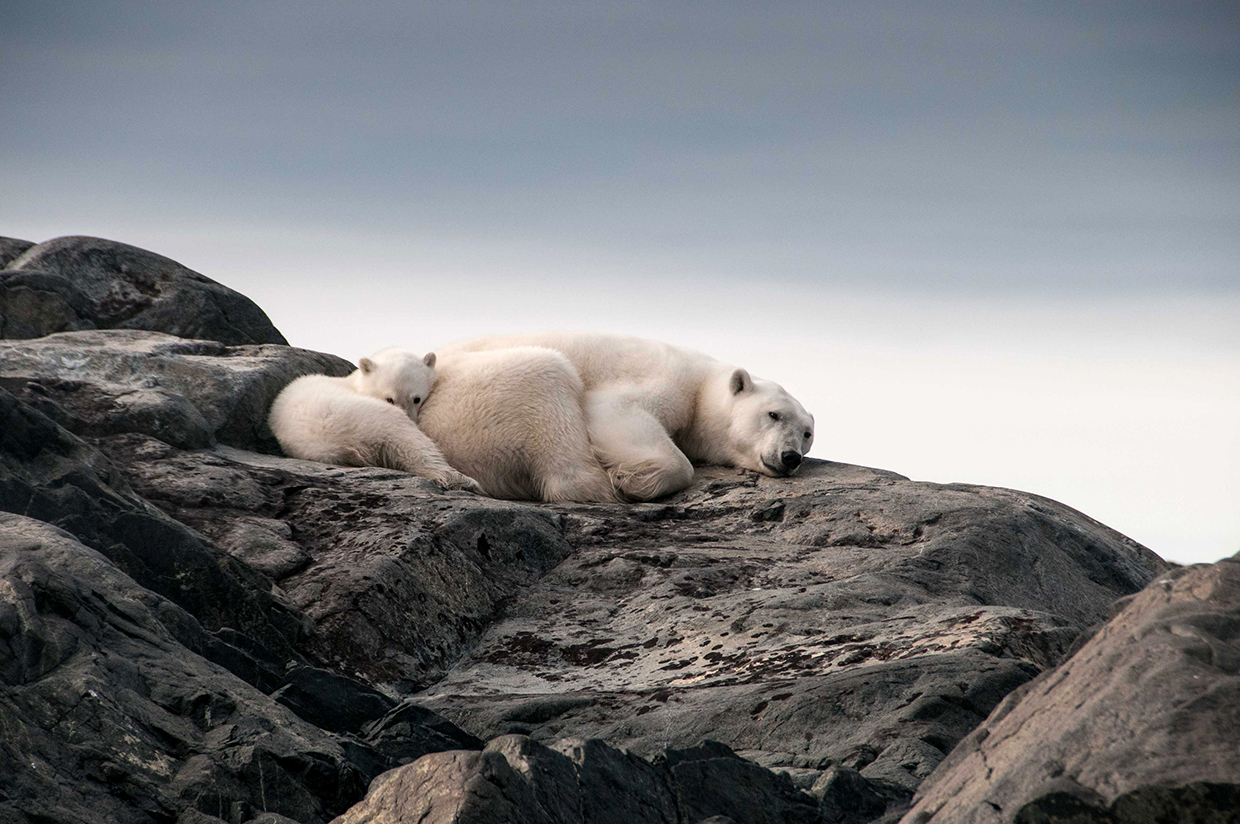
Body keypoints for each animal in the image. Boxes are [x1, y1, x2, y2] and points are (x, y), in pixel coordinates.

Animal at [269, 344, 481, 488]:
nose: (411, 418)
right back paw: (464, 480)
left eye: (417, 398)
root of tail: (336, 444)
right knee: (411, 443)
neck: (357, 384)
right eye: (390, 398)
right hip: (367, 416)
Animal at [416, 332, 813, 500]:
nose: (790, 457)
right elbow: (615, 411)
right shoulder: (665, 378)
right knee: (548, 375)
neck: (702, 381)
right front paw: (635, 478)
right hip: (471, 400)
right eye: (773, 414)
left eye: (807, 433)